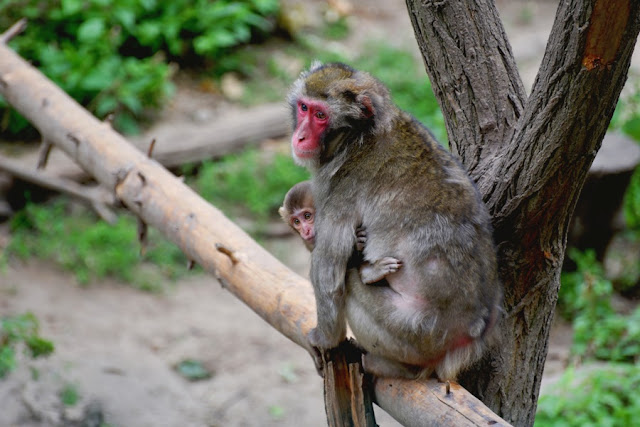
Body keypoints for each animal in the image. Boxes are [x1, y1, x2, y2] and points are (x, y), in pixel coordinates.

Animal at [287, 62, 502, 381]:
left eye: (320, 115)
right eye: (303, 107)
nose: (300, 137)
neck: (359, 137)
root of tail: (470, 335)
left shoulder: (339, 188)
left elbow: (328, 275)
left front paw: (322, 339)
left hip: (412, 334)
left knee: (349, 284)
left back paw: (393, 365)